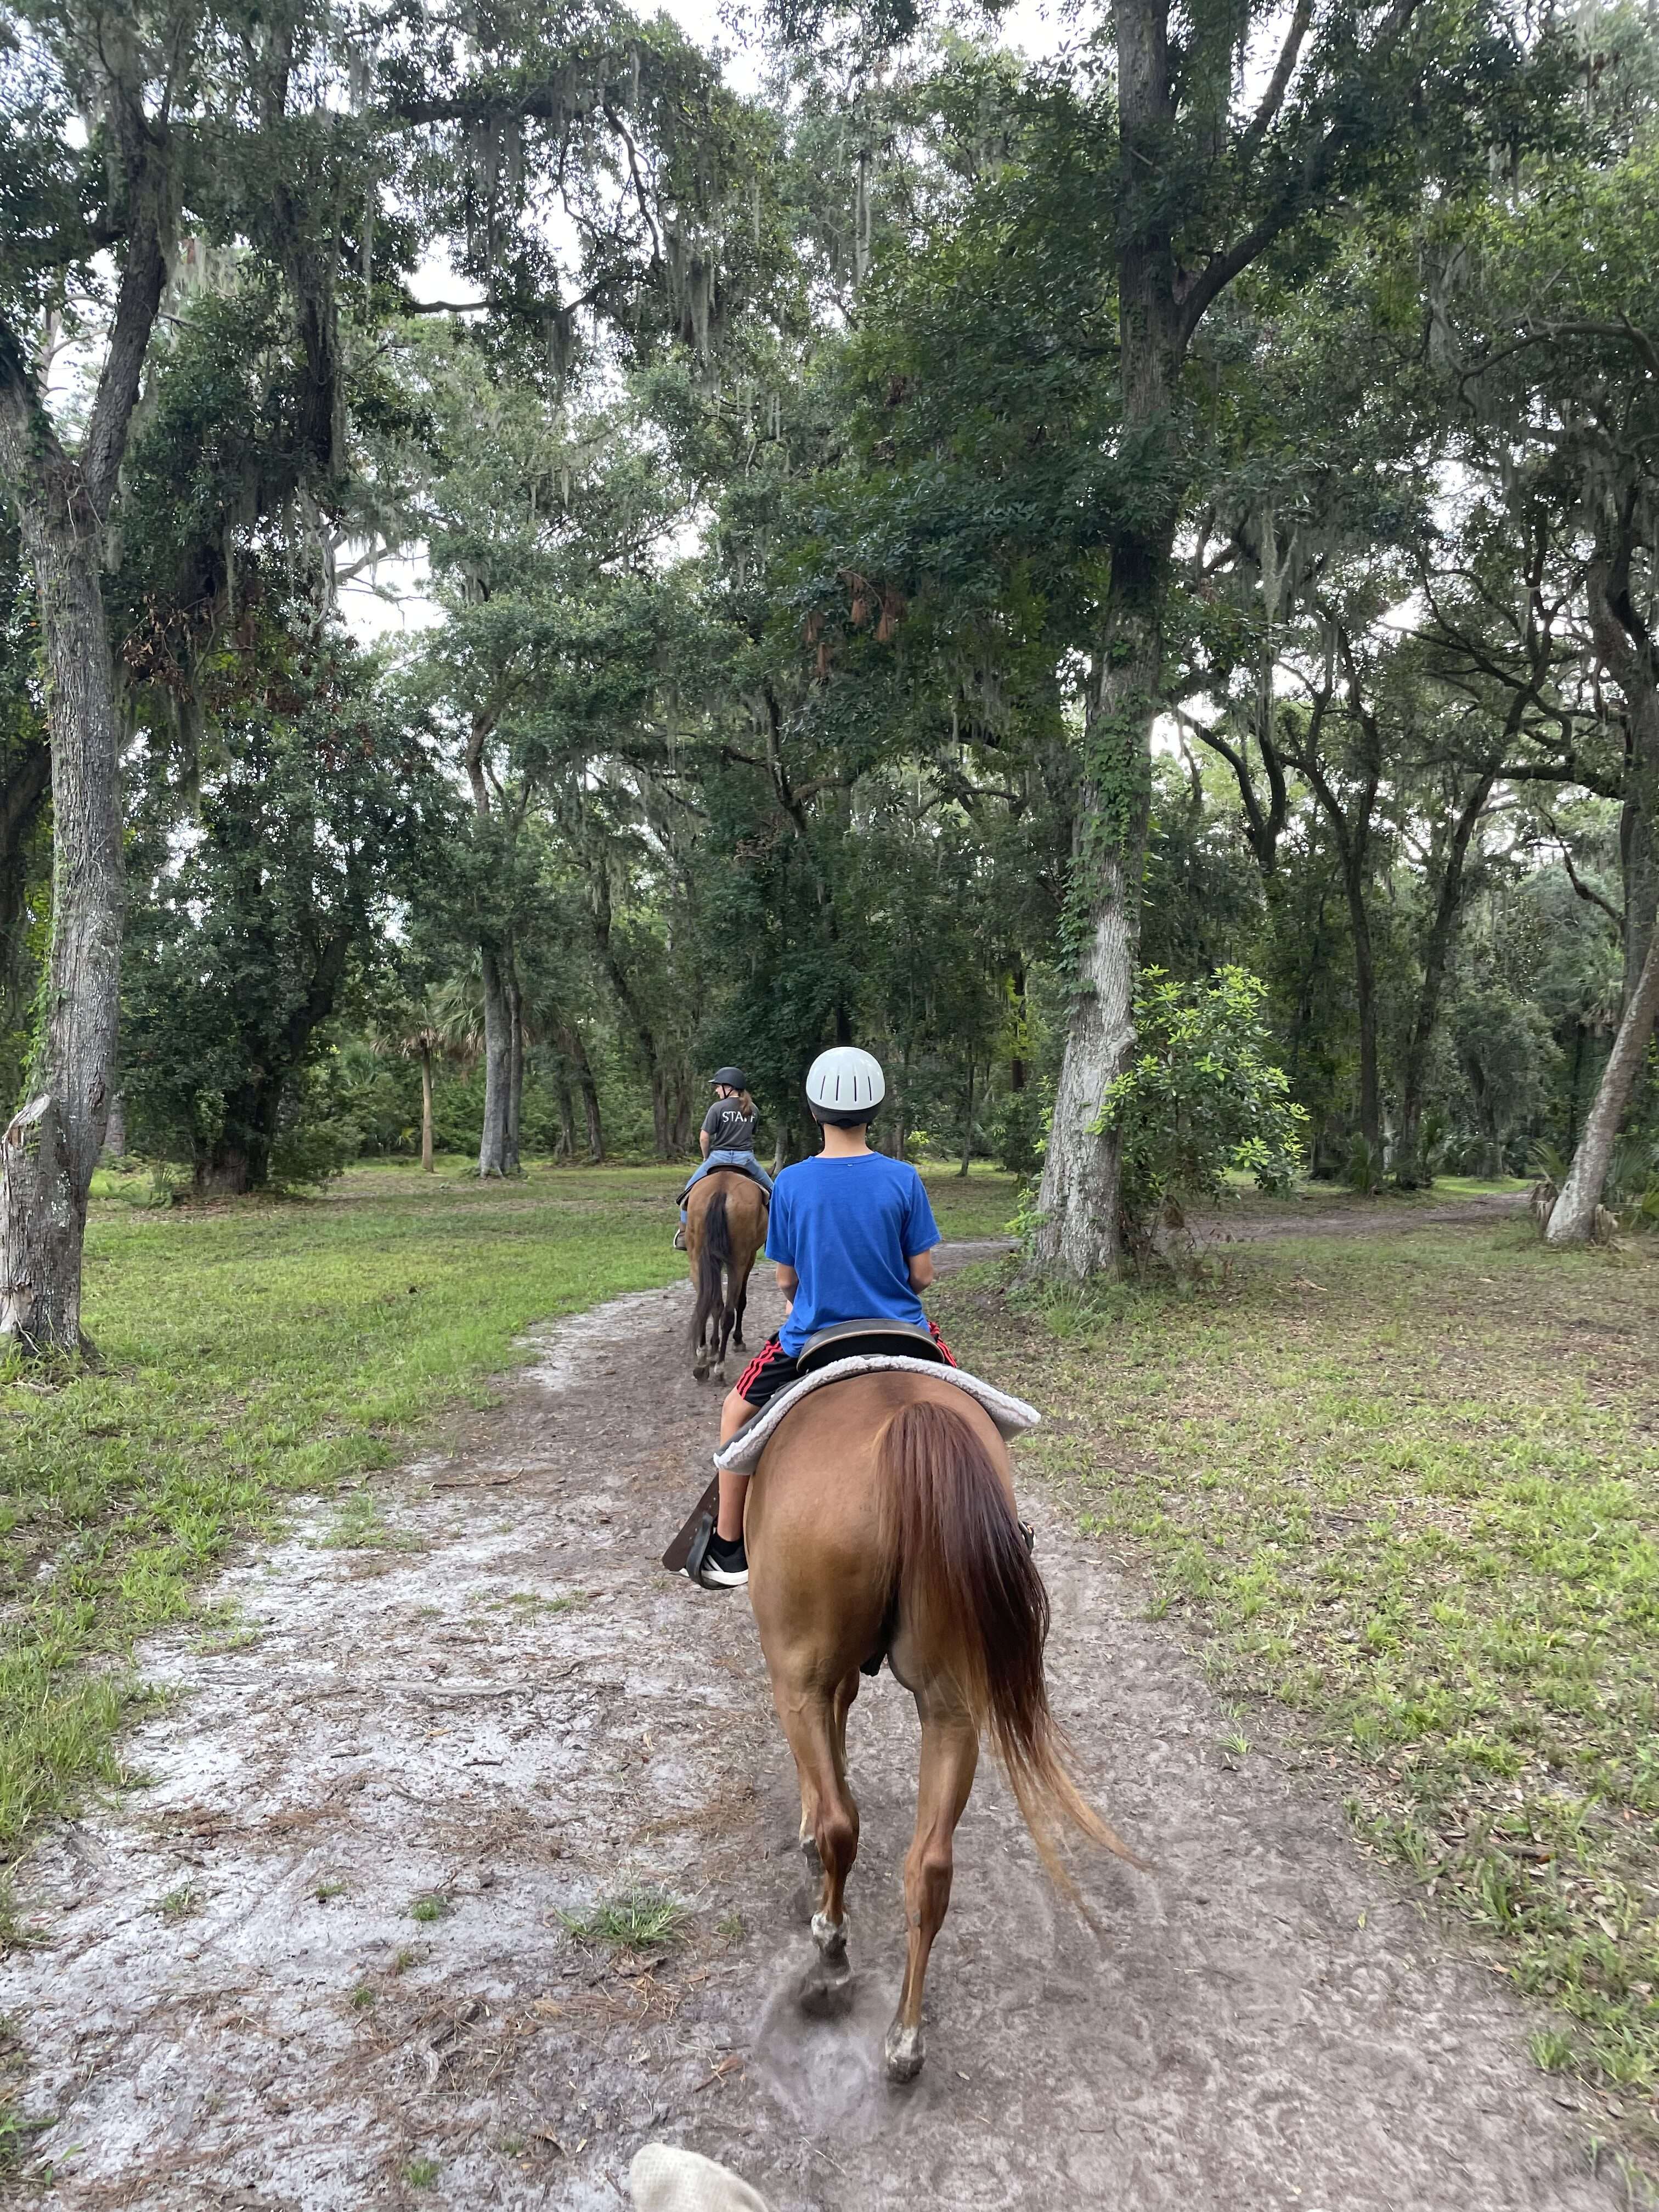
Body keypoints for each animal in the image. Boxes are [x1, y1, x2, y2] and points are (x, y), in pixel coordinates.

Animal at [686, 1171, 769, 1383]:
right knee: (729, 1312)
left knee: (706, 1305)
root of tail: (721, 1188)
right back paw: (720, 1368)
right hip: (738, 1262)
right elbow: (741, 1302)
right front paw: (737, 1341)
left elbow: (716, 1305)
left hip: (697, 1259)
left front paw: (712, 1350)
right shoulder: (750, 1258)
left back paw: (703, 1361)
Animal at [743, 1366, 1139, 2083]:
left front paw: (809, 1829)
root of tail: (908, 1422)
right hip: (953, 1705)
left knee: (844, 1825)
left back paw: (831, 1957)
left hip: (799, 1675)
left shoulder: (804, 1678)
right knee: (929, 1869)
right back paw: (905, 2040)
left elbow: (826, 1763)